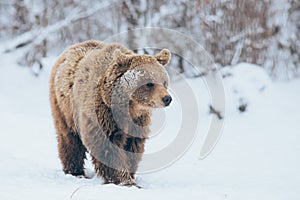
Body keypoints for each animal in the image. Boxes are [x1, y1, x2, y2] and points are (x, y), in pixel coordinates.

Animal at [49, 40, 171, 186]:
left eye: (164, 82)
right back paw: (75, 171)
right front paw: (125, 180)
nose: (167, 98)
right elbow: (107, 146)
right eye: (149, 83)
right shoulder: (103, 115)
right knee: (69, 139)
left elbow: (133, 146)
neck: (127, 107)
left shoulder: (138, 121)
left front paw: (130, 175)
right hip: (64, 107)